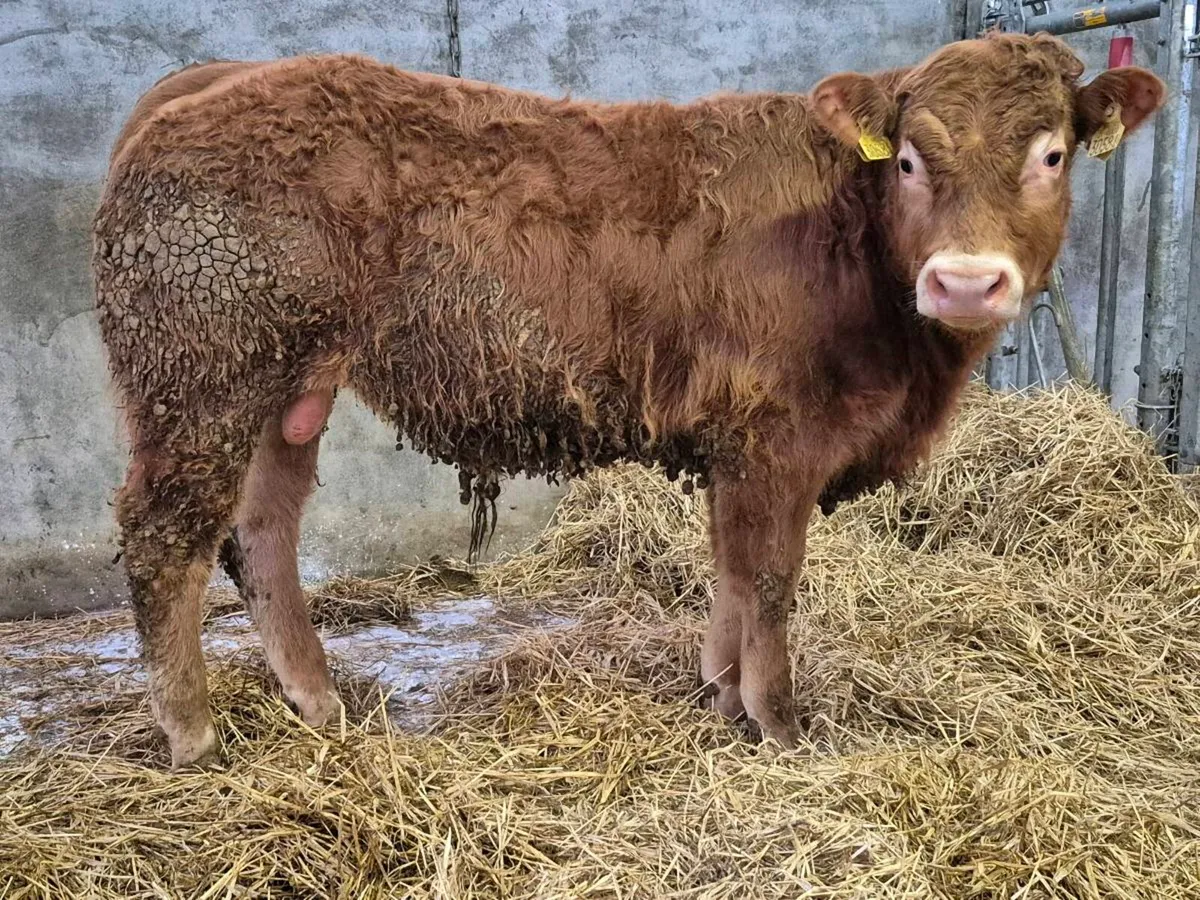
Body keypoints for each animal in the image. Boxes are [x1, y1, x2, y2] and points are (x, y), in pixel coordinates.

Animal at [92, 32, 1163, 768]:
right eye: (907, 158)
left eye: (1052, 155)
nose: (967, 282)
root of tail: (215, 78)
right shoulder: (779, 438)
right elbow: (771, 578)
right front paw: (780, 723)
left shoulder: (737, 445)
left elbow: (730, 570)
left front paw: (721, 693)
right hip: (202, 375)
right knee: (165, 536)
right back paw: (195, 738)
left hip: (289, 388)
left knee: (261, 530)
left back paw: (319, 706)